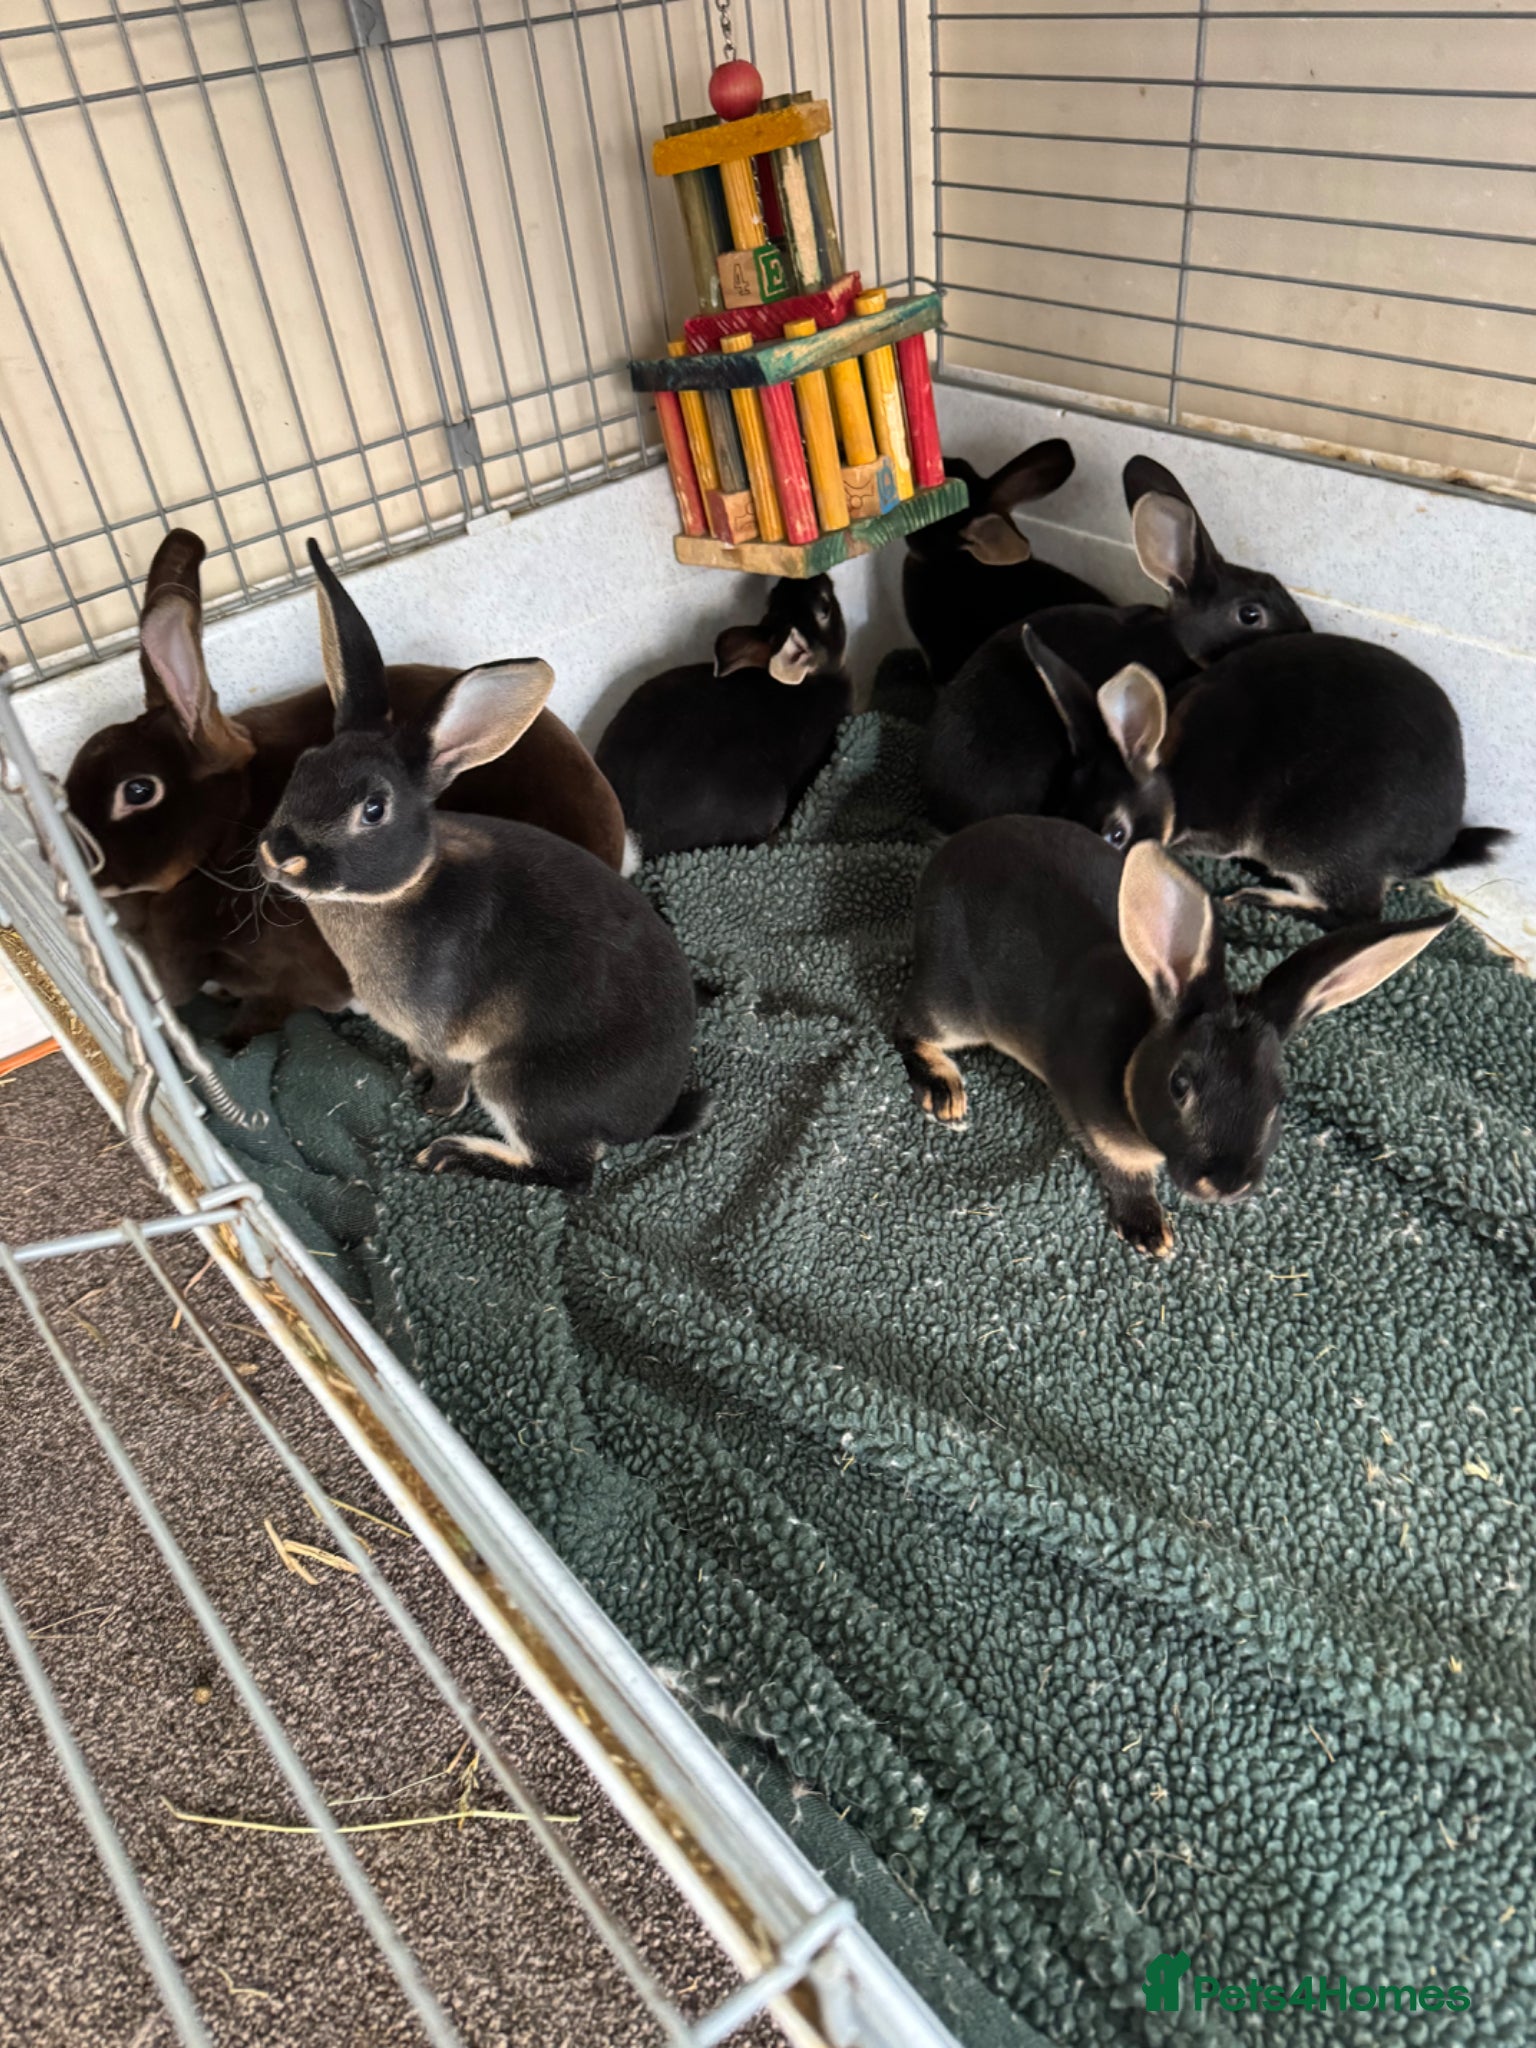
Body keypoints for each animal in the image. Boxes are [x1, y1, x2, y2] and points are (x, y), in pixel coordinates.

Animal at [65, 529, 628, 1046]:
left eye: (139, 791)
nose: (74, 867)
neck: (226, 831)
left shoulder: (288, 979)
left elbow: (266, 1012)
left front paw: (232, 1038)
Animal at [256, 542, 707, 1189]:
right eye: (304, 766)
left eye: (373, 809)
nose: (278, 855)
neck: (402, 890)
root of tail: (651, 1117)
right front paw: (412, 1074)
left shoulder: (443, 1035)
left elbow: (449, 1076)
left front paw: (433, 1106)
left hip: (519, 1084)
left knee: (565, 1171)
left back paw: (449, 1152)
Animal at [894, 816, 1452, 1254]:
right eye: (1179, 1086)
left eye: (1279, 1099)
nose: (1226, 1185)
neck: (1133, 1056)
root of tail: (948, 853)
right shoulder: (1102, 1131)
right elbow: (1127, 1172)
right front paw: (1149, 1232)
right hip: (953, 1006)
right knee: (909, 1025)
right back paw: (944, 1090)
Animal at [1061, 636, 1509, 922]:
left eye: (1116, 835)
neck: (1172, 779)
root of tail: (1430, 851)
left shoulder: (1220, 832)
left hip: (1310, 844)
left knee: (1355, 914)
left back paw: (1256, 896)